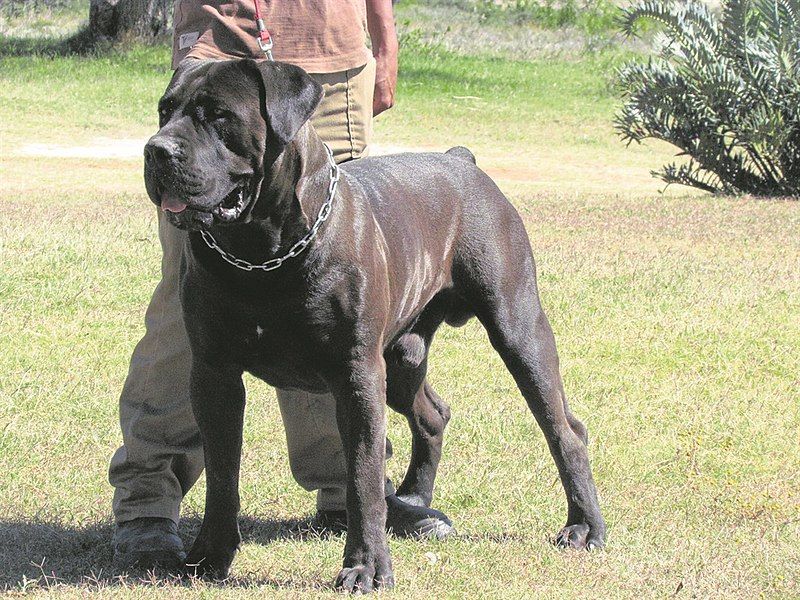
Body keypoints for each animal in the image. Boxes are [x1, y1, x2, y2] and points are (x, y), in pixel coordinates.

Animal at [145, 58, 608, 592]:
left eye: (220, 116)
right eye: (165, 111)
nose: (156, 150)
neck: (260, 253)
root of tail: (462, 160)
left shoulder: (356, 376)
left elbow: (362, 476)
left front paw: (365, 567)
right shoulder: (214, 375)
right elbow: (222, 473)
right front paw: (209, 556)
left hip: (518, 331)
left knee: (565, 431)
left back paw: (584, 527)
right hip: (403, 359)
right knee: (433, 415)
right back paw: (412, 501)